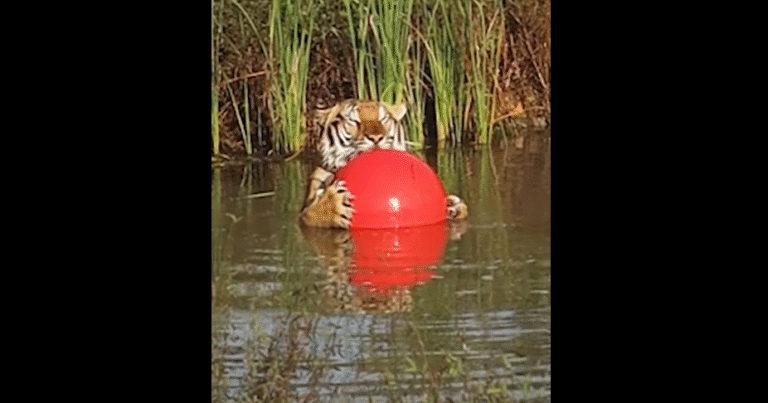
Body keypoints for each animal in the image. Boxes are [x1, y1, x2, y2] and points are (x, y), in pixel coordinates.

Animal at [299, 99, 468, 229]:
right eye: (354, 121)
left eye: (383, 119)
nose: (376, 137)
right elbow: (310, 214)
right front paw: (334, 204)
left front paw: (454, 207)